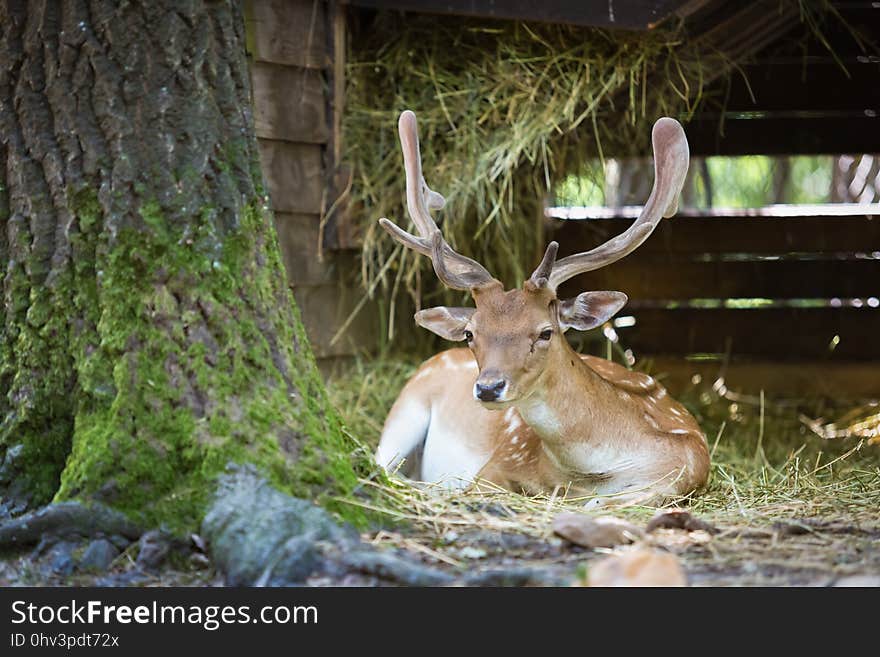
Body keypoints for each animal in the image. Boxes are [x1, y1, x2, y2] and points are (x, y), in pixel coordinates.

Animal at [374, 110, 712, 504]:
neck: (591, 472)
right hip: (405, 409)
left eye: (545, 332)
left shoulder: (679, 476)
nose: (488, 388)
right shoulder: (500, 461)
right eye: (471, 333)